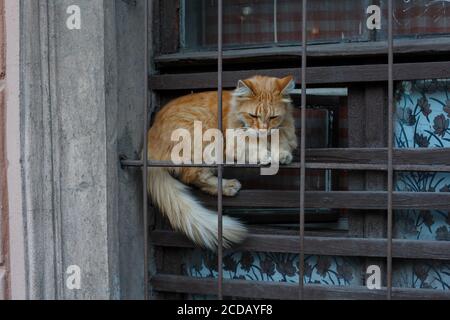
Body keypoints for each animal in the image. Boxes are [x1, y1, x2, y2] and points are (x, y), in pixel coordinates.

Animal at [146, 75, 298, 250]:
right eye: (252, 116)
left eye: (273, 117)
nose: (263, 130)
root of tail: (150, 136)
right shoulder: (234, 145)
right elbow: (252, 149)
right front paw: (265, 154)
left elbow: (282, 144)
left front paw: (281, 154)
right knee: (194, 177)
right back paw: (229, 186)